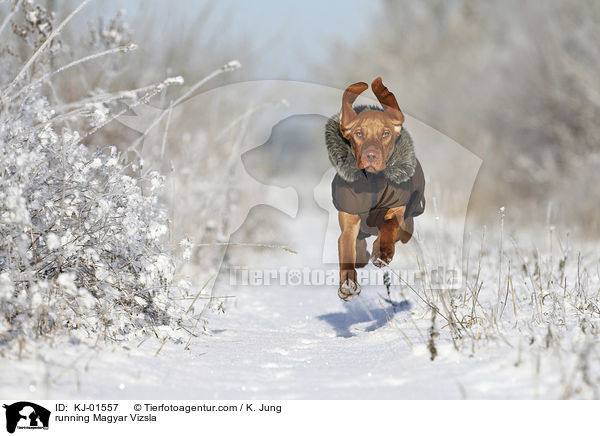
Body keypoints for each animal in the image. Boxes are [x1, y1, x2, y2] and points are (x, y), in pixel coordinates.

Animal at [326, 76, 424, 300]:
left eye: (385, 133)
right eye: (359, 133)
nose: (371, 155)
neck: (372, 181)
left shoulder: (397, 211)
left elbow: (389, 225)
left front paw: (383, 253)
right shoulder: (349, 220)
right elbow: (346, 247)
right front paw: (347, 283)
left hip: (408, 227)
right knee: (358, 245)